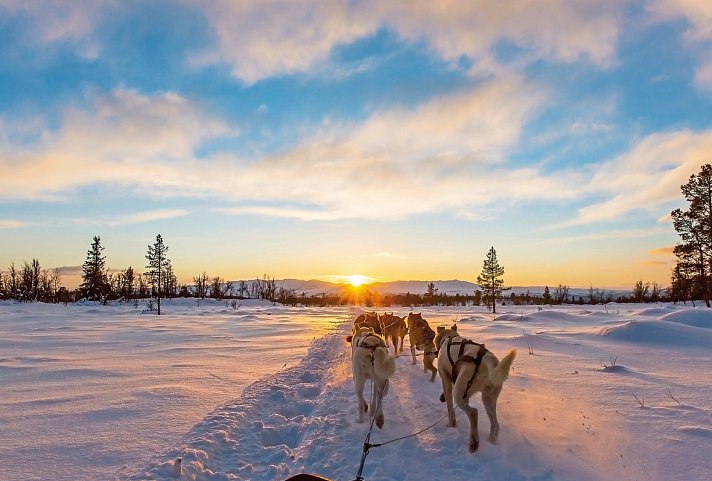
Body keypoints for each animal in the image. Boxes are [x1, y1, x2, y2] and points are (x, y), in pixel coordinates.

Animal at [434, 324, 516, 452]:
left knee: (473, 412)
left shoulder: (446, 380)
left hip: (459, 394)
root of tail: (487, 358)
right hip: (488, 398)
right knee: (495, 425)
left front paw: (451, 425)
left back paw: (474, 442)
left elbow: (450, 409)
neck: (448, 338)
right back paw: (490, 443)